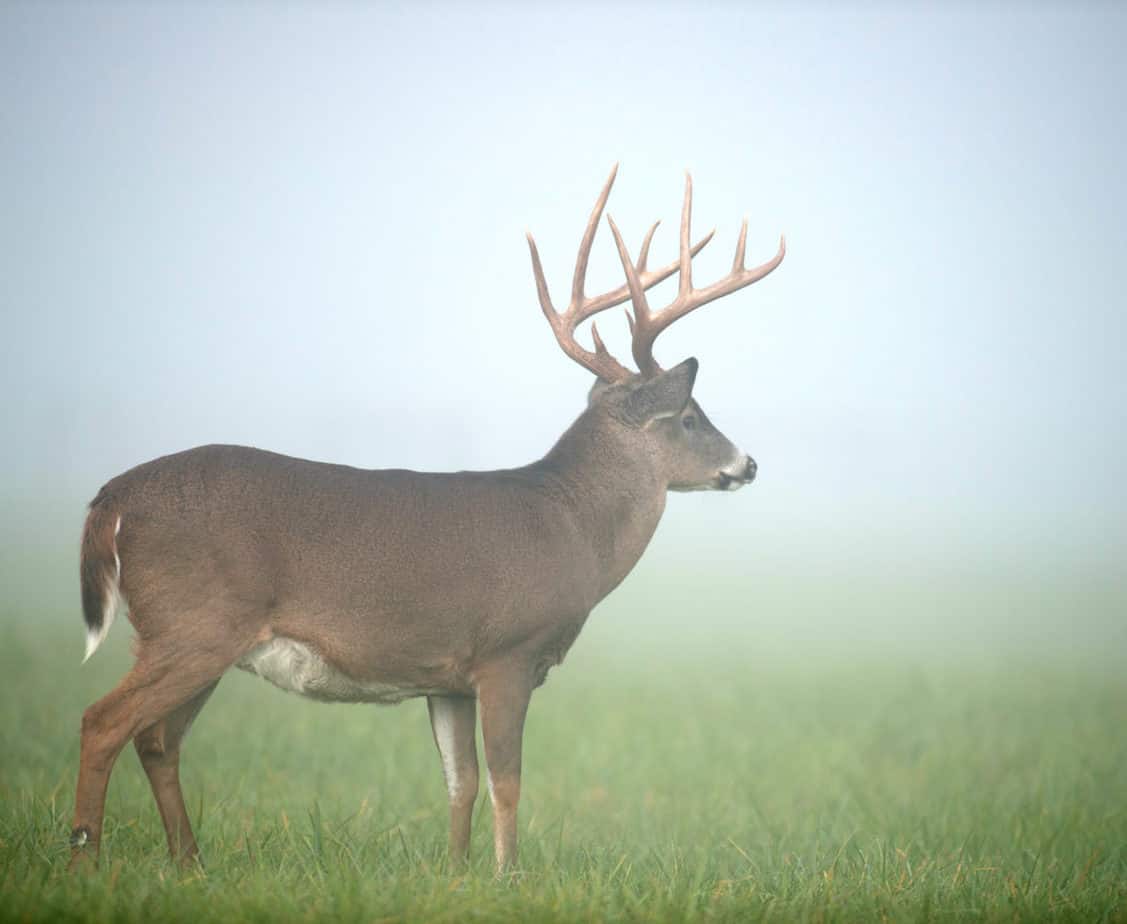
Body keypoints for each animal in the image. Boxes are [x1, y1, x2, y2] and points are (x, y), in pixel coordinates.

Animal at [68, 167, 784, 874]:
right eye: (690, 416)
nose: (748, 463)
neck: (572, 526)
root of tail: (111, 498)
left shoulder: (448, 676)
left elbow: (459, 781)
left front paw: (457, 872)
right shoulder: (507, 652)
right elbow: (506, 780)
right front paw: (507, 876)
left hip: (195, 636)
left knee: (157, 739)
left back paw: (190, 863)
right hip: (193, 623)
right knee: (104, 721)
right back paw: (86, 861)